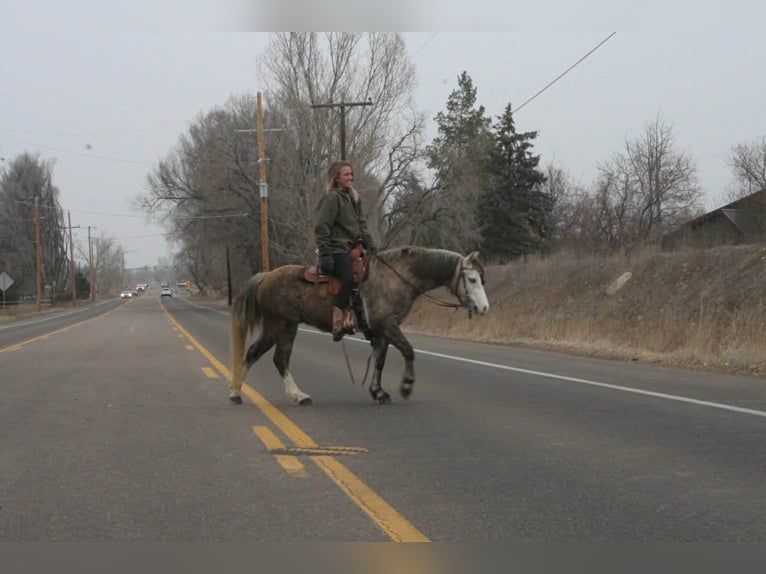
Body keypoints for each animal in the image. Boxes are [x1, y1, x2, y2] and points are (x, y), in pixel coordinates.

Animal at [229, 246, 489, 405]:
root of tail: (265, 276)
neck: (397, 278)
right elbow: (408, 351)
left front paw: (378, 392)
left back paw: (236, 393)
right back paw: (298, 396)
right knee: (280, 359)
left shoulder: (382, 331)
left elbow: (380, 361)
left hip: (273, 328)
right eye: (472, 279)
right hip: (285, 326)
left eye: (481, 279)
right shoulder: (388, 325)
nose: (484, 308)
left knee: (253, 353)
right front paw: (406, 386)